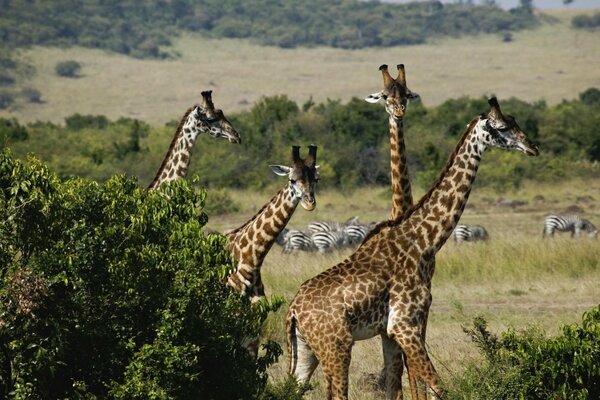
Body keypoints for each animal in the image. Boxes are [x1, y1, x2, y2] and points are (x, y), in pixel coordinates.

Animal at [286, 97, 540, 400]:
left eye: (515, 121)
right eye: (502, 127)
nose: (532, 147)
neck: (424, 241)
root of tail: (293, 311)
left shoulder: (389, 331)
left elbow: (397, 387)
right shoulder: (404, 323)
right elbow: (436, 385)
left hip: (305, 351)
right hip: (336, 346)